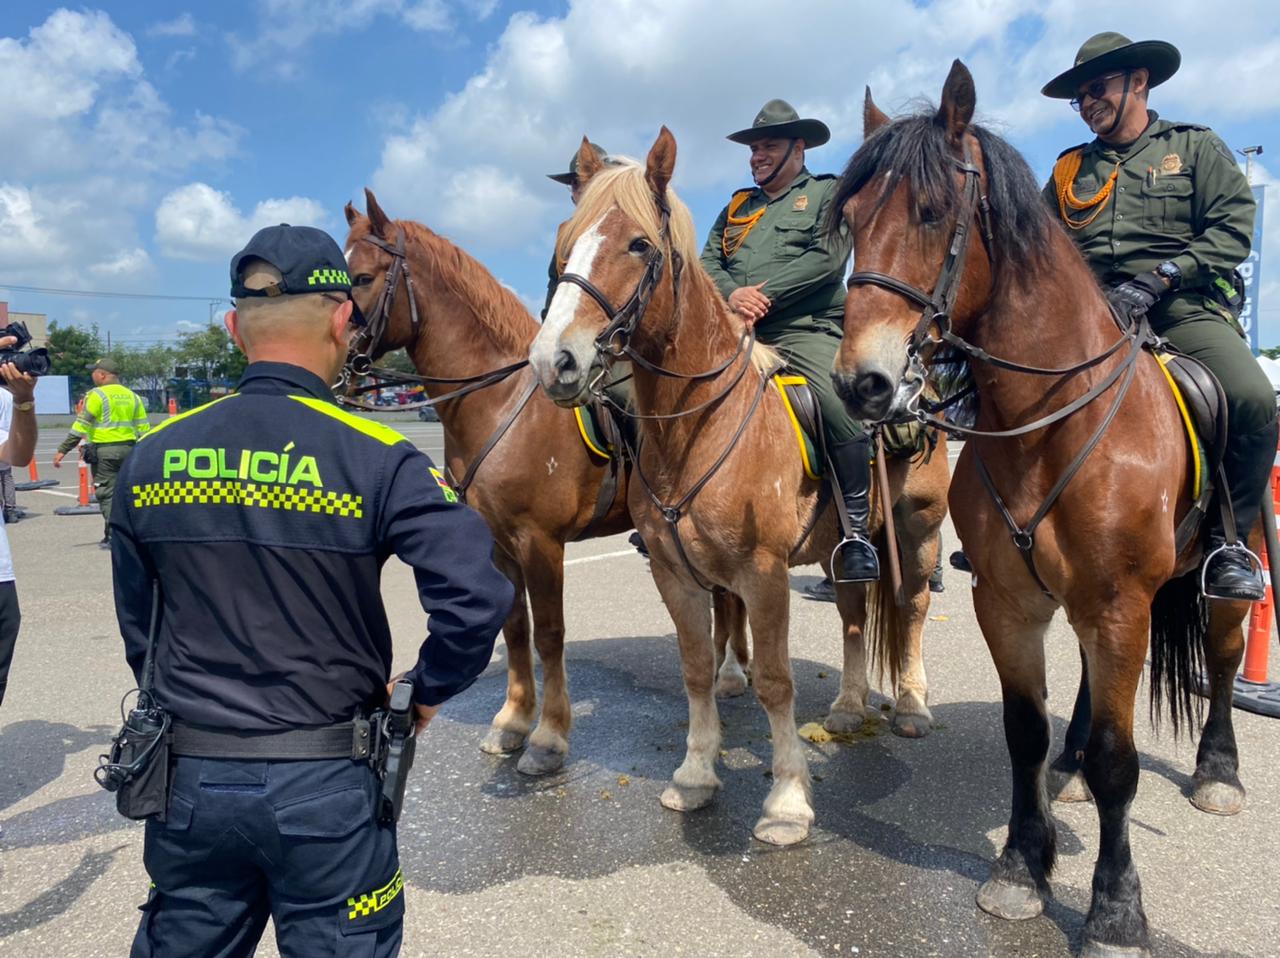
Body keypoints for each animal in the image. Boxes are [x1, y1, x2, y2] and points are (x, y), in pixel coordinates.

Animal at [522, 136, 952, 845]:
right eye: (562, 242)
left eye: (638, 245)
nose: (553, 362)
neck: (698, 426)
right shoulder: (675, 573)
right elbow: (697, 667)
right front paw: (696, 773)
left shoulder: (763, 575)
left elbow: (775, 682)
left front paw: (787, 801)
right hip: (848, 551)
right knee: (854, 613)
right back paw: (847, 704)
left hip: (918, 531)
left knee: (912, 607)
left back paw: (912, 704)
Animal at [829, 61, 1249, 957]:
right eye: (850, 219)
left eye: (932, 210)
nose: (862, 384)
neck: (1053, 422)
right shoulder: (1010, 602)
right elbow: (1024, 733)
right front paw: (1023, 867)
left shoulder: (1121, 602)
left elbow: (1123, 761)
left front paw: (1116, 909)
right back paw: (1070, 768)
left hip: (1223, 571)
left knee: (1226, 659)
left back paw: (1219, 771)